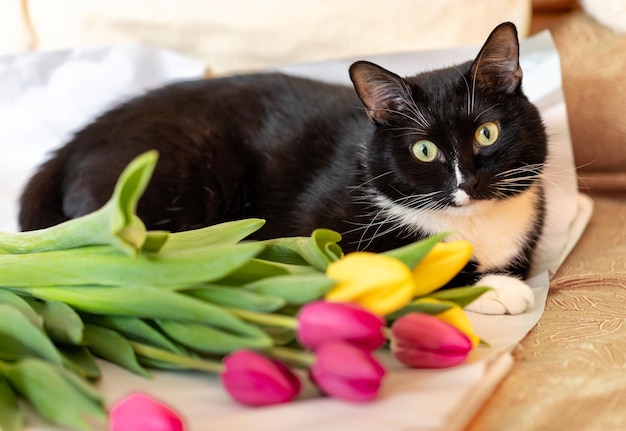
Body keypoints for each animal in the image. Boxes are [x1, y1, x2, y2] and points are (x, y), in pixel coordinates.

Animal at [19, 22, 544, 314]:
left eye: (487, 134)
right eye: (424, 151)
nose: (467, 181)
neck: (473, 223)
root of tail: (73, 144)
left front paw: (503, 278)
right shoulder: (325, 233)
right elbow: (407, 264)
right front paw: (498, 288)